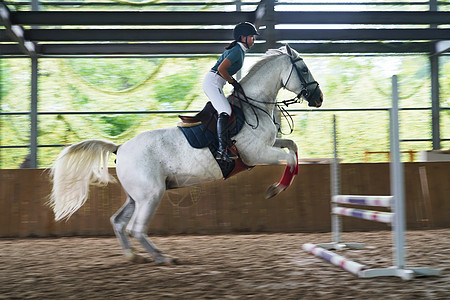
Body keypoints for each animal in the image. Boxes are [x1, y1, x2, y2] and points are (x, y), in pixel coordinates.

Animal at [48, 44, 324, 262]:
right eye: (304, 69)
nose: (319, 97)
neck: (253, 106)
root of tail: (121, 147)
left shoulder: (270, 145)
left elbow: (293, 148)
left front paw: (283, 183)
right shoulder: (256, 154)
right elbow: (288, 158)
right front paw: (276, 189)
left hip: (137, 195)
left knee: (118, 221)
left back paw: (132, 255)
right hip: (151, 194)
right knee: (136, 228)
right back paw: (162, 257)